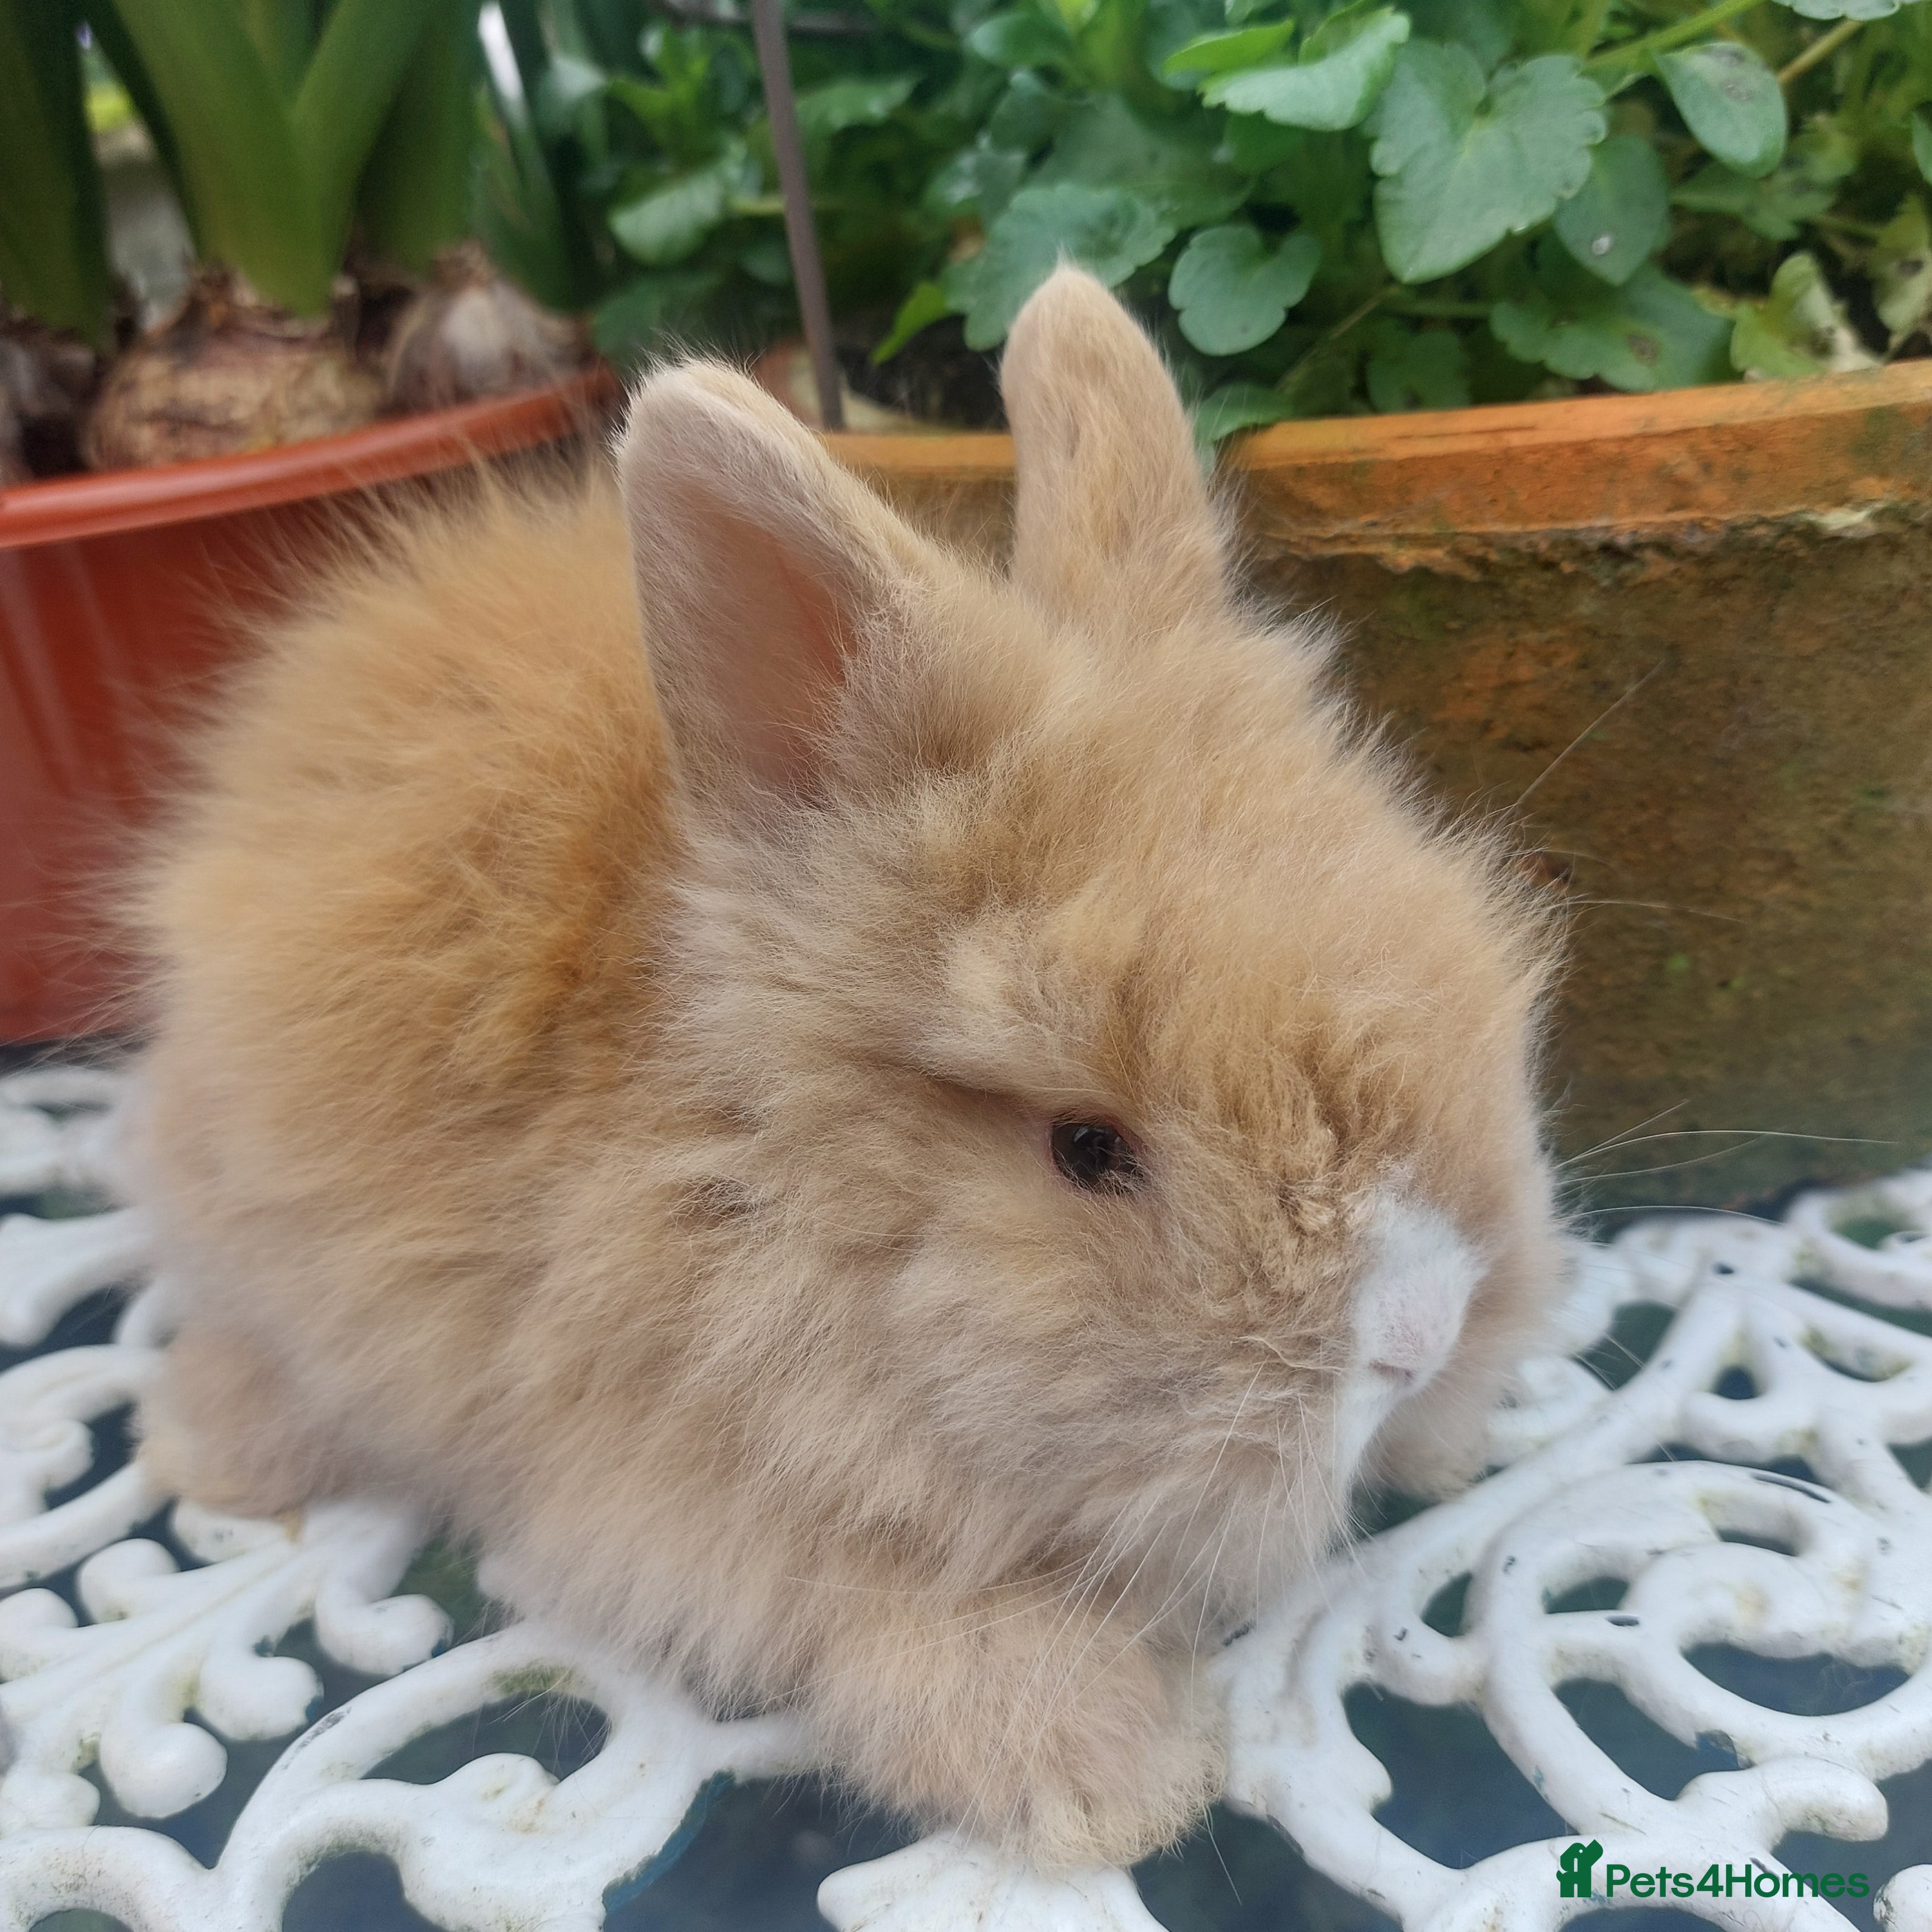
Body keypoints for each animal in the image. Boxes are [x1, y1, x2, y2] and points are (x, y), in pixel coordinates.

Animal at [130, 267, 1562, 1872]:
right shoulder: (687, 1497)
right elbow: (911, 1618)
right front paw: (1109, 1783)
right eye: (1086, 1147)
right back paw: (210, 1457)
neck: (748, 1187)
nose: (1424, 1335)